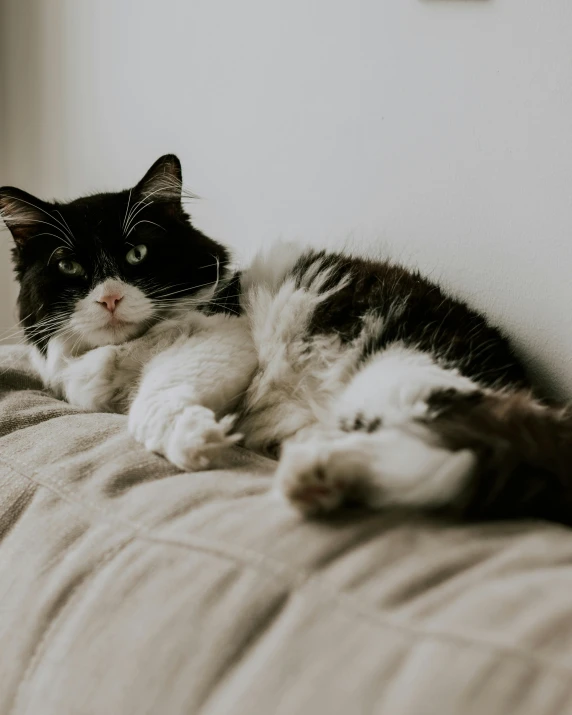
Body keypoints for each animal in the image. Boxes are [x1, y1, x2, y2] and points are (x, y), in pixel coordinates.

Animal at [1, 155, 572, 524]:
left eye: (137, 254)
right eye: (69, 267)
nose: (111, 299)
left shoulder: (222, 338)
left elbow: (153, 402)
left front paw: (197, 441)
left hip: (399, 381)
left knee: (473, 452)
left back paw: (313, 473)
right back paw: (315, 476)